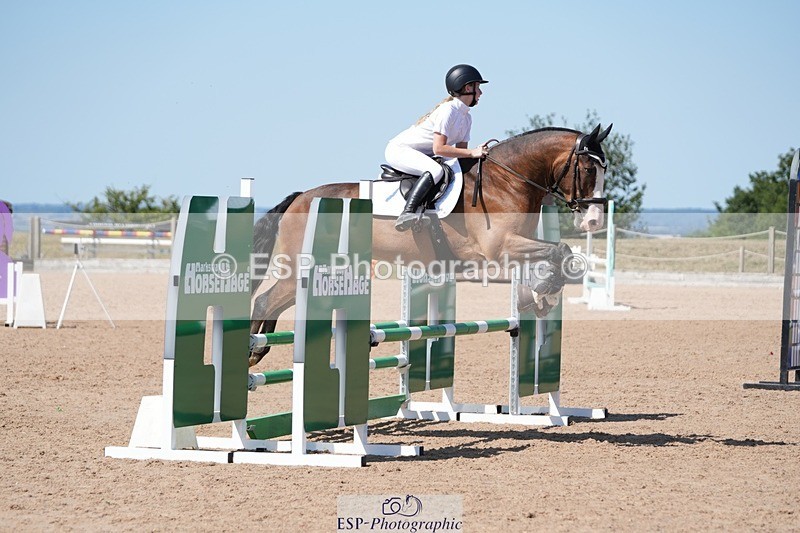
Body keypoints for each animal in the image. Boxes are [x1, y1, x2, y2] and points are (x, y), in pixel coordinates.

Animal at [248, 124, 613, 367]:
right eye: (586, 168)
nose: (594, 221)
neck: (507, 181)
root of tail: (300, 197)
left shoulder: (515, 246)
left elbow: (561, 252)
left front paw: (543, 295)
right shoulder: (498, 250)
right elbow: (559, 251)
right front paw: (545, 292)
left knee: (274, 304)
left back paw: (259, 351)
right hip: (303, 268)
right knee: (265, 301)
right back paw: (252, 354)